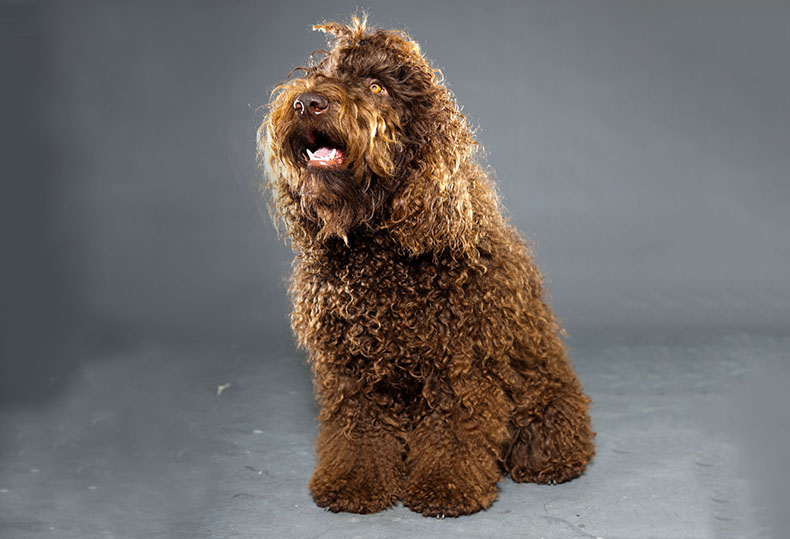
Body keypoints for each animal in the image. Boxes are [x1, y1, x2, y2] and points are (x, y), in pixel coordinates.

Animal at [260, 14, 592, 516]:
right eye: (322, 74)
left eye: (377, 86)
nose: (307, 102)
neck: (380, 249)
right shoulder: (351, 368)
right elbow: (359, 429)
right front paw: (354, 482)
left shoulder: (461, 363)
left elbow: (454, 429)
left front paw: (445, 486)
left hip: (543, 391)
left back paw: (551, 461)